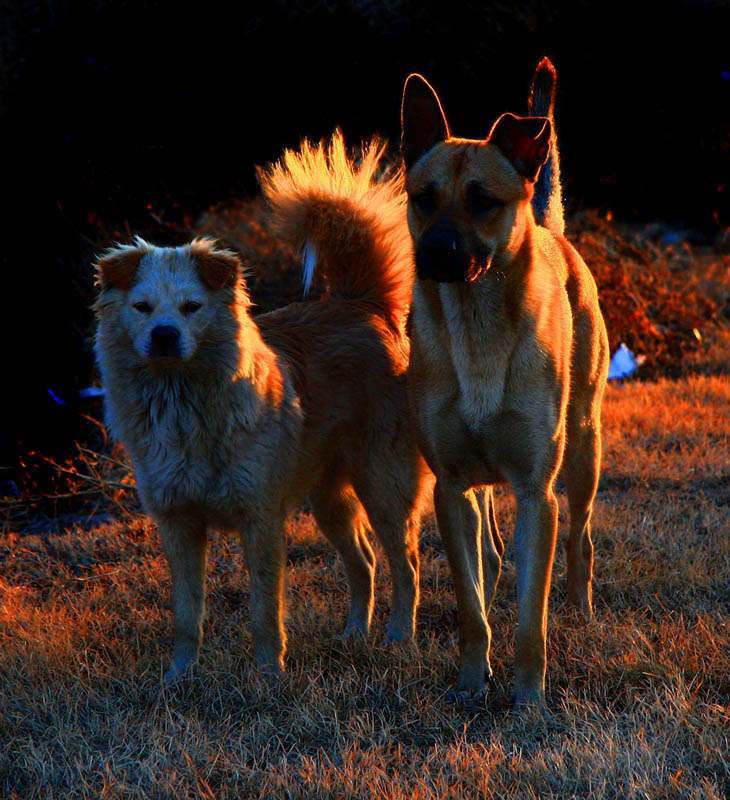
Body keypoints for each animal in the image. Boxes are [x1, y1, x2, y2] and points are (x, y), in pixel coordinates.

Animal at [94, 134, 430, 684]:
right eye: (142, 307)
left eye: (191, 307)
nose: (164, 336)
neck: (184, 402)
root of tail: (361, 304)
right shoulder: (178, 523)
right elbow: (187, 613)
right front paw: (179, 677)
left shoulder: (261, 519)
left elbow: (263, 610)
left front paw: (269, 674)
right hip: (328, 496)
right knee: (363, 562)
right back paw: (354, 635)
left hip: (384, 483)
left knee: (407, 567)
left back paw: (399, 638)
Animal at [398, 57, 608, 708]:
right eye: (423, 198)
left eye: (483, 201)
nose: (435, 253)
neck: (478, 328)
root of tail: (548, 227)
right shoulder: (450, 487)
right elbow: (471, 604)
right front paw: (471, 683)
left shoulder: (538, 494)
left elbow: (530, 618)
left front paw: (529, 701)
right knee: (488, 556)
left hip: (583, 448)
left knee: (580, 540)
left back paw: (582, 612)